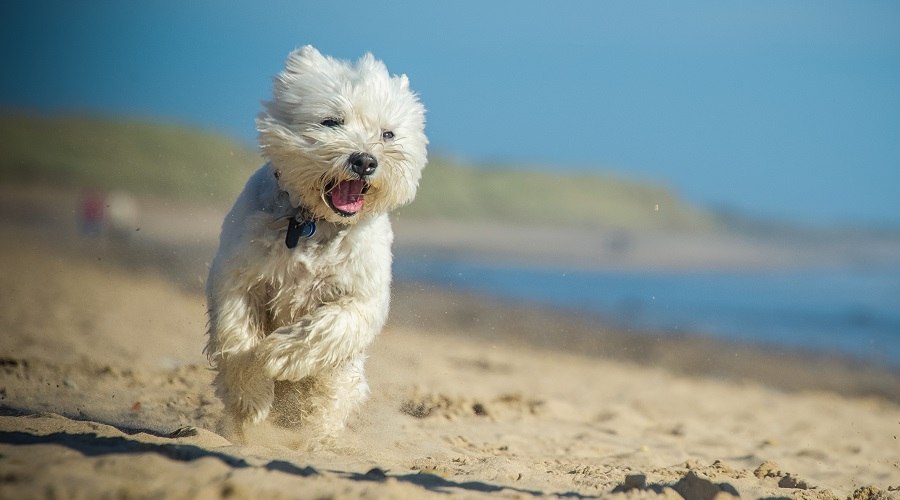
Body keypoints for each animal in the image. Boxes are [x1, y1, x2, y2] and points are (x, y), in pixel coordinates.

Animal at [206, 47, 428, 444]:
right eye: (331, 122)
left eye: (388, 133)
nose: (365, 160)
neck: (315, 223)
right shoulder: (239, 277)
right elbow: (237, 335)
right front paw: (252, 398)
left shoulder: (362, 295)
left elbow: (330, 326)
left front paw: (278, 355)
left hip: (345, 379)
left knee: (330, 397)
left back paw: (312, 436)